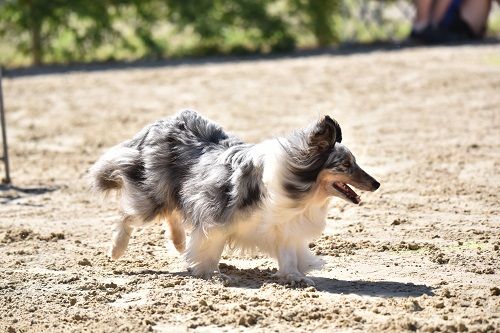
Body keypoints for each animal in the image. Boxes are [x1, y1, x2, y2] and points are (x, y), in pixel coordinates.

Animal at [90, 109, 378, 282]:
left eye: (354, 162)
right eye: (346, 165)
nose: (376, 184)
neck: (297, 182)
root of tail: (161, 124)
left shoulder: (284, 224)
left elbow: (287, 253)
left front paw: (295, 276)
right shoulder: (216, 215)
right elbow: (211, 248)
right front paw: (210, 273)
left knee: (171, 212)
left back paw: (179, 242)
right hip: (152, 195)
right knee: (127, 216)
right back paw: (116, 249)